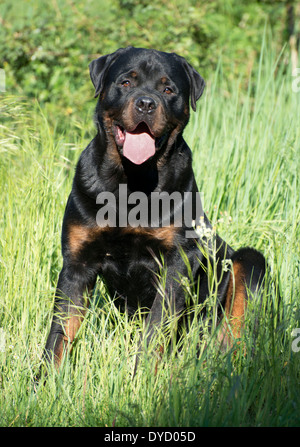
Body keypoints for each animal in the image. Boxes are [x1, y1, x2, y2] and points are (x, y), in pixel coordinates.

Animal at [41, 46, 264, 372]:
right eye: (126, 83)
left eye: (168, 89)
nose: (146, 103)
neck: (130, 182)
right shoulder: (77, 262)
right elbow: (59, 331)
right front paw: (45, 380)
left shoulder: (176, 263)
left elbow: (156, 329)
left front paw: (141, 376)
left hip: (249, 261)